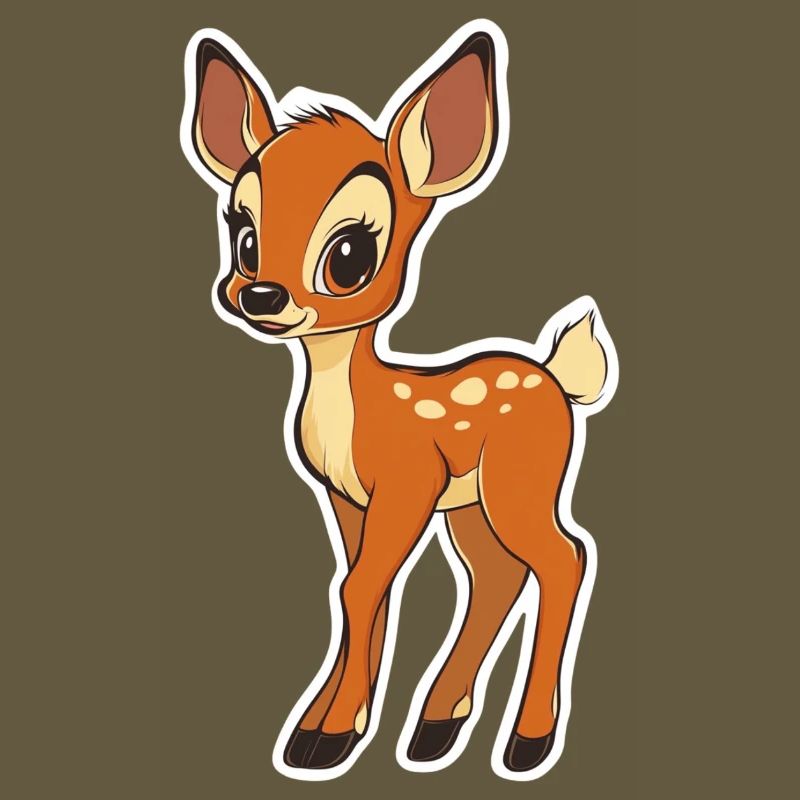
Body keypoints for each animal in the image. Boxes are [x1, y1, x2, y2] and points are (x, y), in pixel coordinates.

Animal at [181, 21, 616, 781]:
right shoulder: (347, 496)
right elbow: (359, 591)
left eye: (351, 254)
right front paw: (321, 731)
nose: (259, 295)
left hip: (520, 483)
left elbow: (361, 588)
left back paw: (527, 743)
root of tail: (556, 378)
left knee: (564, 559)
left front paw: (328, 738)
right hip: (472, 503)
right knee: (496, 575)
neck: (357, 409)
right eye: (244, 235)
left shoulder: (407, 483)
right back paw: (436, 728)